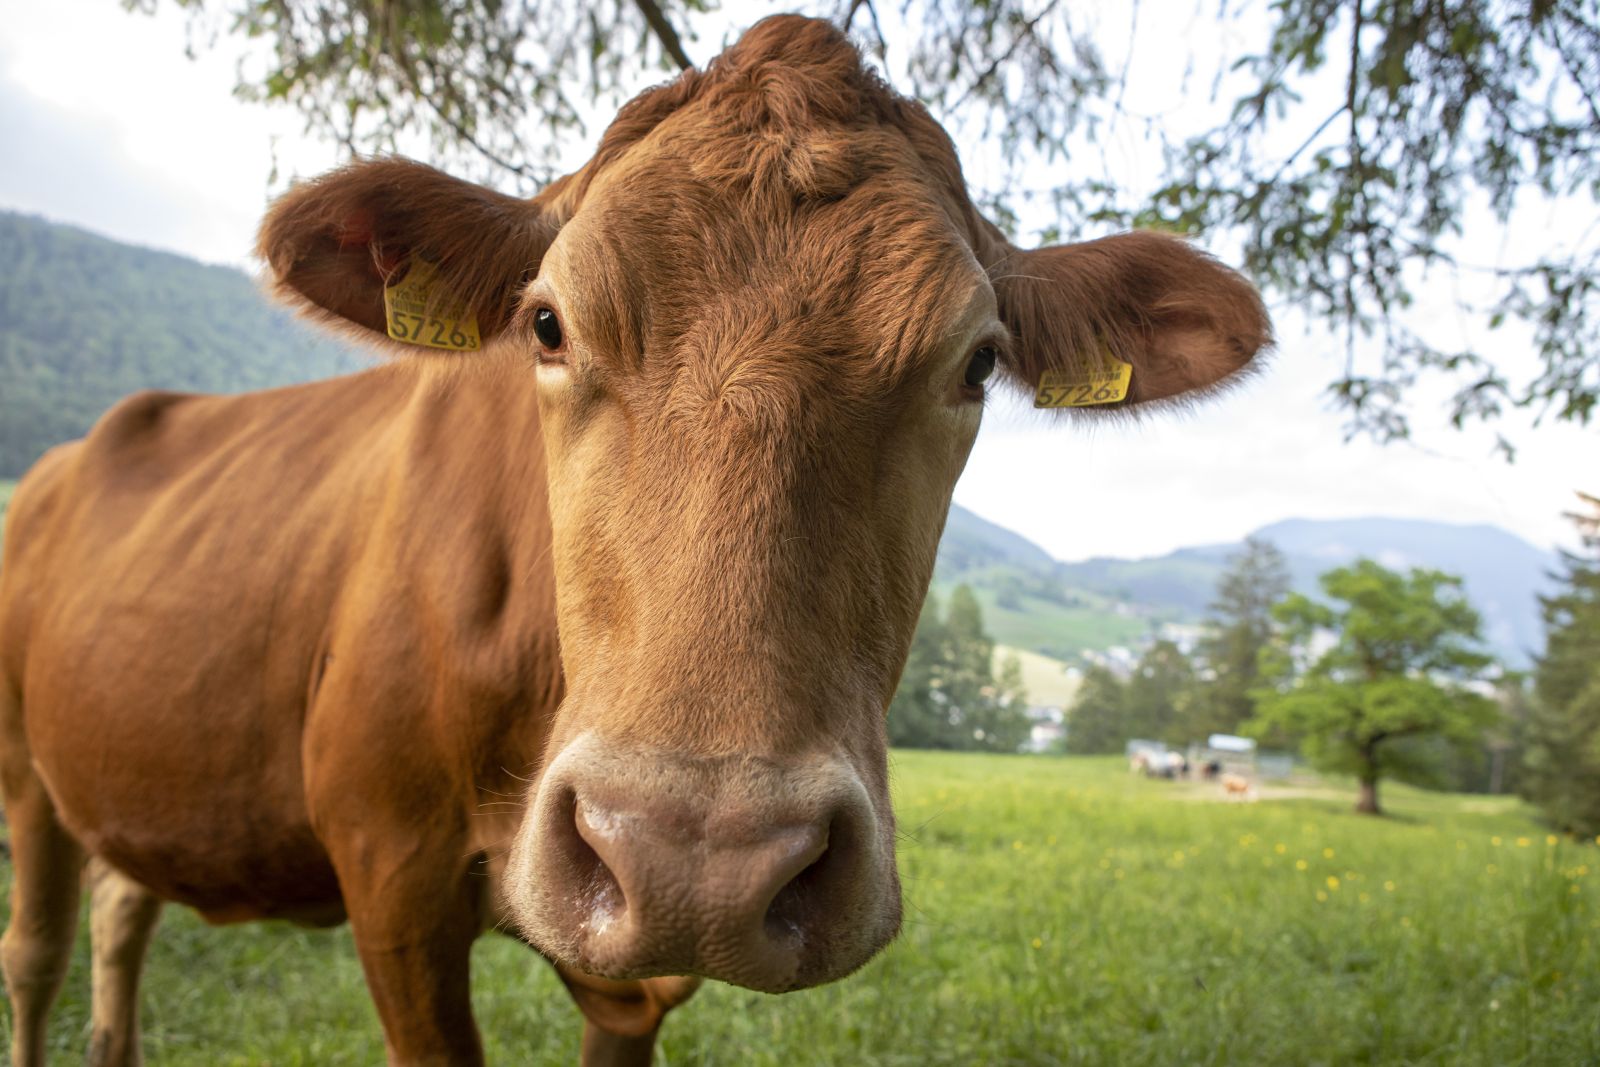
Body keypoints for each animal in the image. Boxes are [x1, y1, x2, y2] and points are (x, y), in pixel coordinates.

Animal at [0, 16, 1273, 1067]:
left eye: (975, 362)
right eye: (545, 323)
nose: (699, 855)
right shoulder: (388, 869)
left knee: (122, 909)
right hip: (25, 763)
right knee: (37, 951)